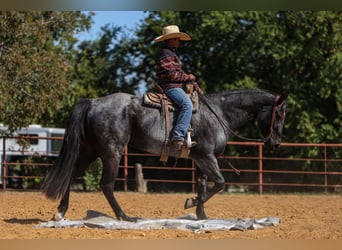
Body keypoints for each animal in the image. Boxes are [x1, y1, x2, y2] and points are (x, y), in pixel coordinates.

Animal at [40, 88, 288, 221]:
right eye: (280, 114)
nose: (276, 143)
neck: (218, 113)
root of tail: (93, 102)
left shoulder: (199, 159)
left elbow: (203, 185)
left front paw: (202, 216)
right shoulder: (208, 157)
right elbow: (219, 183)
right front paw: (190, 203)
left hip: (89, 152)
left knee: (71, 176)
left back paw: (60, 213)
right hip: (112, 152)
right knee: (106, 184)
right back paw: (124, 216)